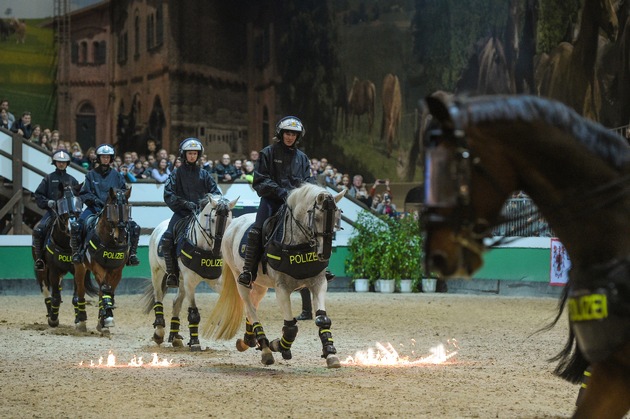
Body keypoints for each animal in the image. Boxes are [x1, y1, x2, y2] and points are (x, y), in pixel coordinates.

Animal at [74, 189, 133, 336]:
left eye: (127, 208)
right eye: (111, 209)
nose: (121, 237)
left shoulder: (117, 271)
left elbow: (108, 291)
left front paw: (106, 318)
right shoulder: (97, 267)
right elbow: (105, 288)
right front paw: (106, 316)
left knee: (101, 291)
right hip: (80, 267)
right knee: (81, 291)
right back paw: (81, 321)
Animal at [142, 195, 238, 352]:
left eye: (230, 219)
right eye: (212, 219)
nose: (218, 247)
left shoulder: (216, 281)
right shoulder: (190, 283)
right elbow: (194, 314)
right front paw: (195, 342)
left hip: (180, 281)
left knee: (176, 303)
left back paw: (175, 337)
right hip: (157, 272)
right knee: (158, 298)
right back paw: (159, 332)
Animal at [202, 184, 348, 368]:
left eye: (336, 217)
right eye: (316, 218)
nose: (324, 253)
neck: (298, 245)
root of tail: (233, 223)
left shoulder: (319, 283)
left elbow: (322, 319)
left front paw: (330, 353)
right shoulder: (282, 289)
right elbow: (291, 327)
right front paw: (278, 345)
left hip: (260, 286)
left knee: (252, 307)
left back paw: (249, 340)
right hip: (241, 280)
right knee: (250, 308)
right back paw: (265, 348)